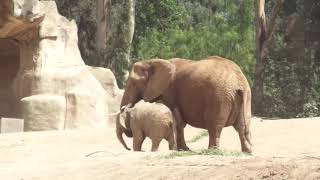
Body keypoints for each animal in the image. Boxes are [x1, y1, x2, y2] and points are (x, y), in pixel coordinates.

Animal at [117, 56, 252, 153]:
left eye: (133, 84)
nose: (125, 106)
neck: (152, 62)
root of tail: (239, 81)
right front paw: (183, 149)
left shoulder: (169, 92)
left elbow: (176, 118)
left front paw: (181, 150)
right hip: (245, 97)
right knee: (242, 126)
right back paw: (247, 151)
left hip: (219, 98)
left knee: (215, 126)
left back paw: (211, 151)